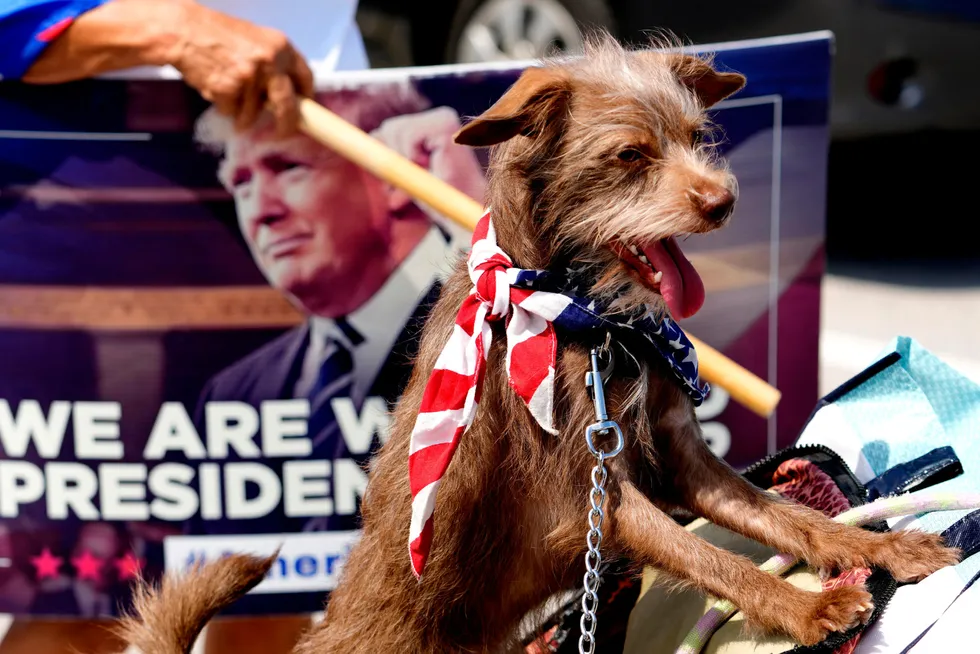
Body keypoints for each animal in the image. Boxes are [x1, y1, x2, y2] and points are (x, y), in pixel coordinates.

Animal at [115, 32, 956, 654]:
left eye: (696, 138)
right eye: (629, 156)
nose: (722, 201)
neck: (590, 317)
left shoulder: (685, 465)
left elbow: (789, 518)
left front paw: (886, 552)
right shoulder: (593, 499)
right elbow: (711, 557)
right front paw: (806, 611)